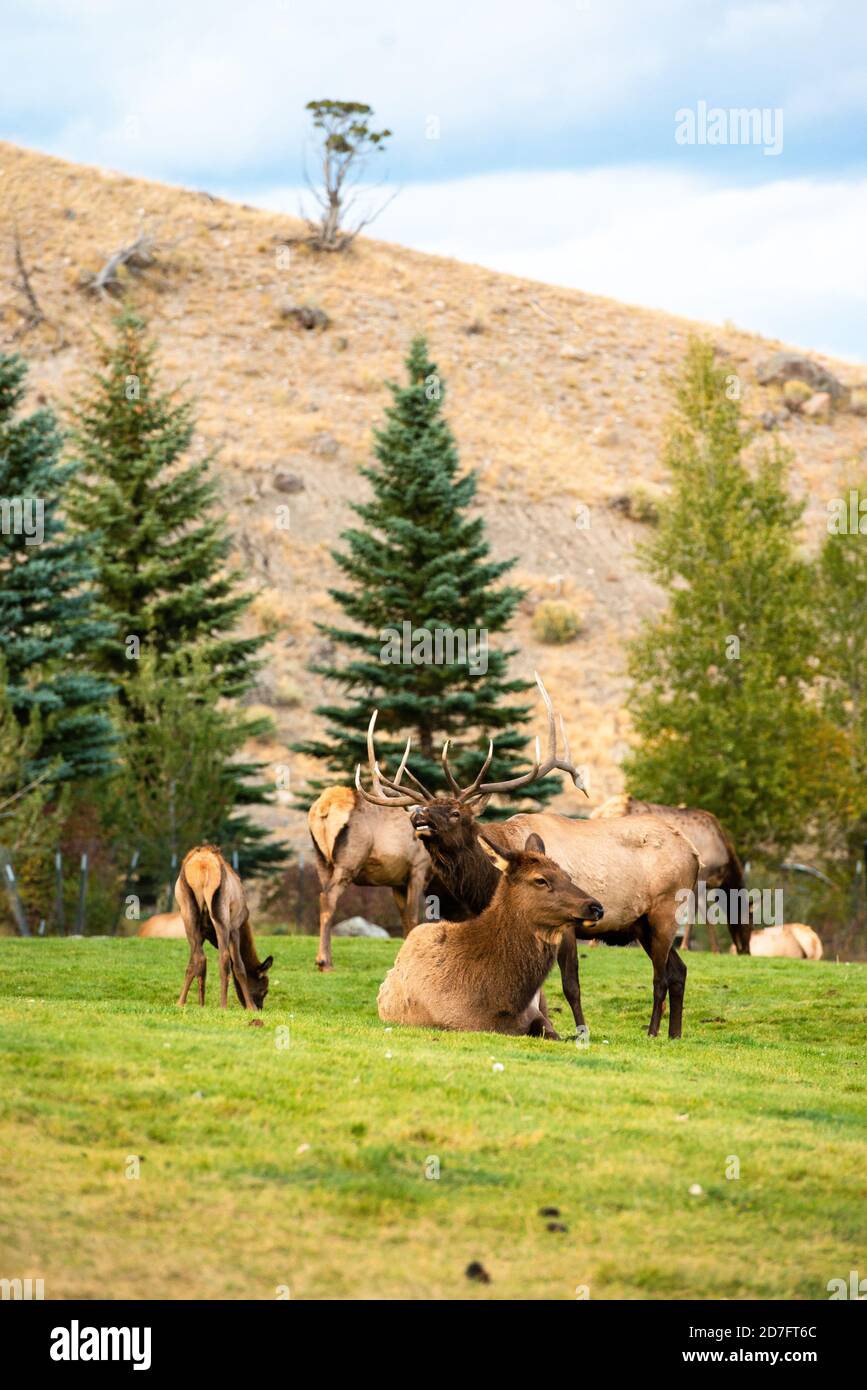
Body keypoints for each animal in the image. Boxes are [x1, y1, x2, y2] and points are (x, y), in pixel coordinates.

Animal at [175, 846, 273, 1010]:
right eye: (265, 990)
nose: (260, 1008)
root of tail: (203, 866)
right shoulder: (235, 927)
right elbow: (239, 966)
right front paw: (250, 1007)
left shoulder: (201, 933)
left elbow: (192, 964)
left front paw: (196, 1003)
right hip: (222, 912)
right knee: (224, 957)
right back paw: (223, 1006)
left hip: (188, 912)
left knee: (200, 957)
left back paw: (185, 1003)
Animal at [591, 793, 751, 953]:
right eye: (750, 922)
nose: (746, 951)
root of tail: (598, 813)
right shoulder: (701, 876)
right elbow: (695, 913)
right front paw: (686, 947)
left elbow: (705, 915)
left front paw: (715, 950)